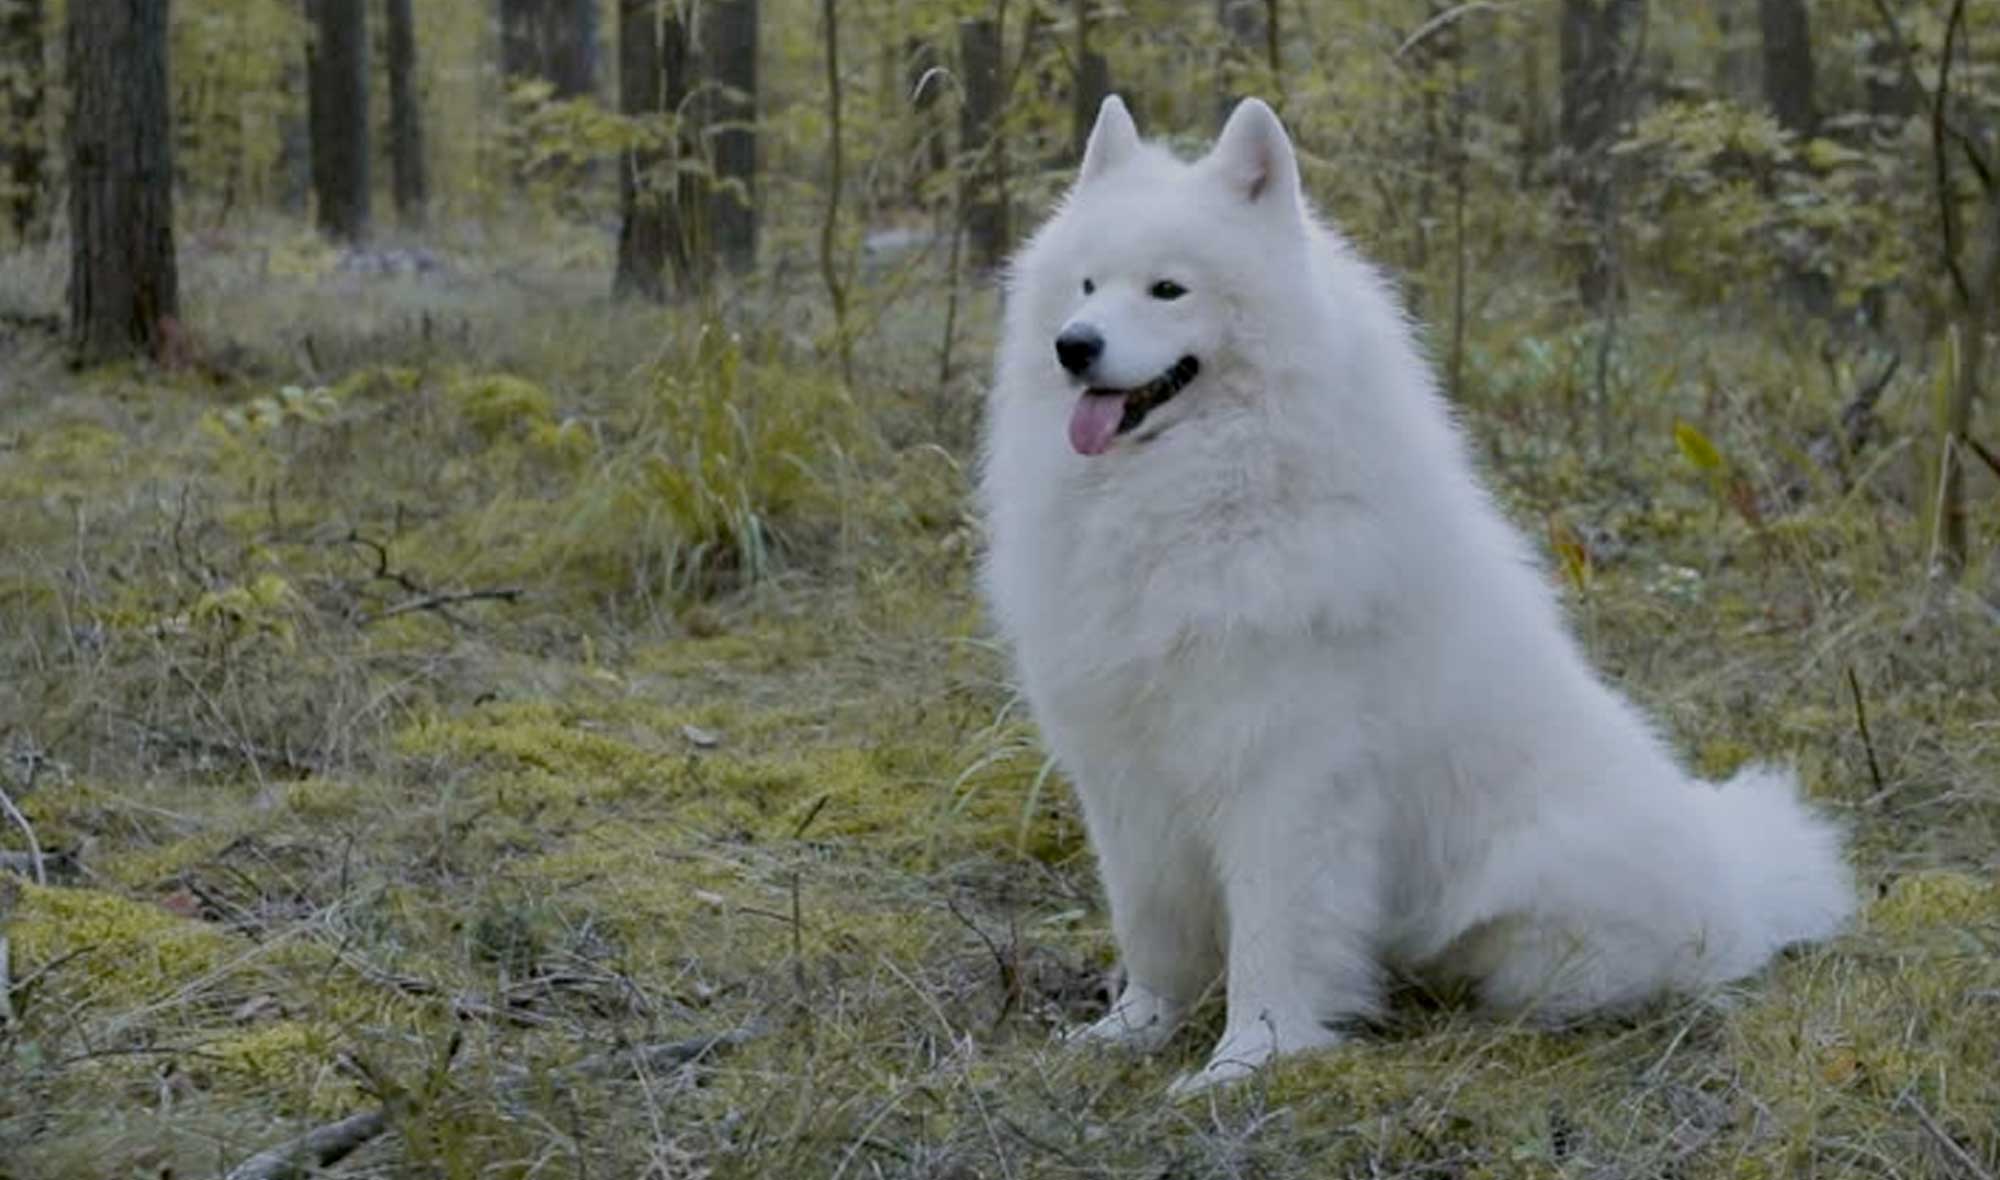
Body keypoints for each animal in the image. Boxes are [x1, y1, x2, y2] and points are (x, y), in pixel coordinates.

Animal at [976, 95, 1848, 1104]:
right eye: (1084, 286)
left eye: (1167, 290)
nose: (1073, 347)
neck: (1196, 497)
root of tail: (1739, 884)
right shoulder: (1125, 773)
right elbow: (1150, 927)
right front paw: (1132, 1030)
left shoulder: (1285, 775)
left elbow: (1274, 938)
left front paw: (1247, 1060)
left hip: (1546, 918)